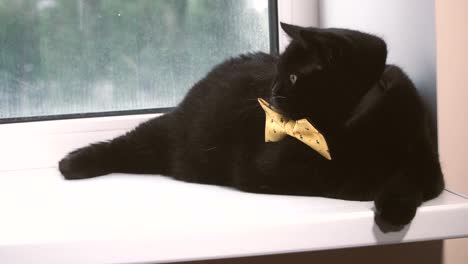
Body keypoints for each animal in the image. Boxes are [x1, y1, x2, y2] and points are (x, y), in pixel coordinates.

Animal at [60, 22, 444, 229]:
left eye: (292, 76)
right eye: (279, 72)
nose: (271, 92)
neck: (355, 118)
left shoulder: (429, 168)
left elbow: (407, 180)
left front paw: (392, 210)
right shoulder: (270, 167)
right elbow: (346, 179)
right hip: (173, 135)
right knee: (126, 143)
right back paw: (72, 164)